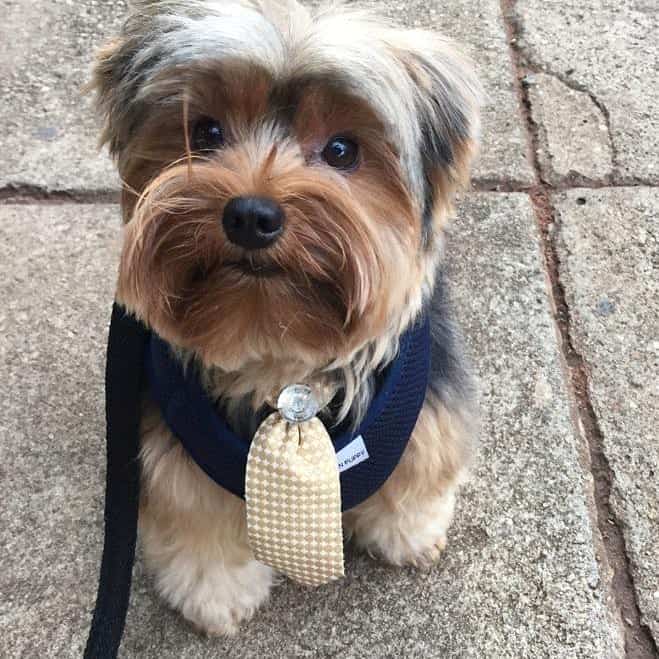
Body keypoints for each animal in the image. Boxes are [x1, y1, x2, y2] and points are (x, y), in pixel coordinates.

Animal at [90, 0, 482, 636]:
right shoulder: (175, 453)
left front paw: (408, 534)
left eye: (342, 151)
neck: (279, 356)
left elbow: (420, 471)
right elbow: (199, 521)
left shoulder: (431, 405)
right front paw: (214, 593)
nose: (251, 214)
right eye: (206, 133)